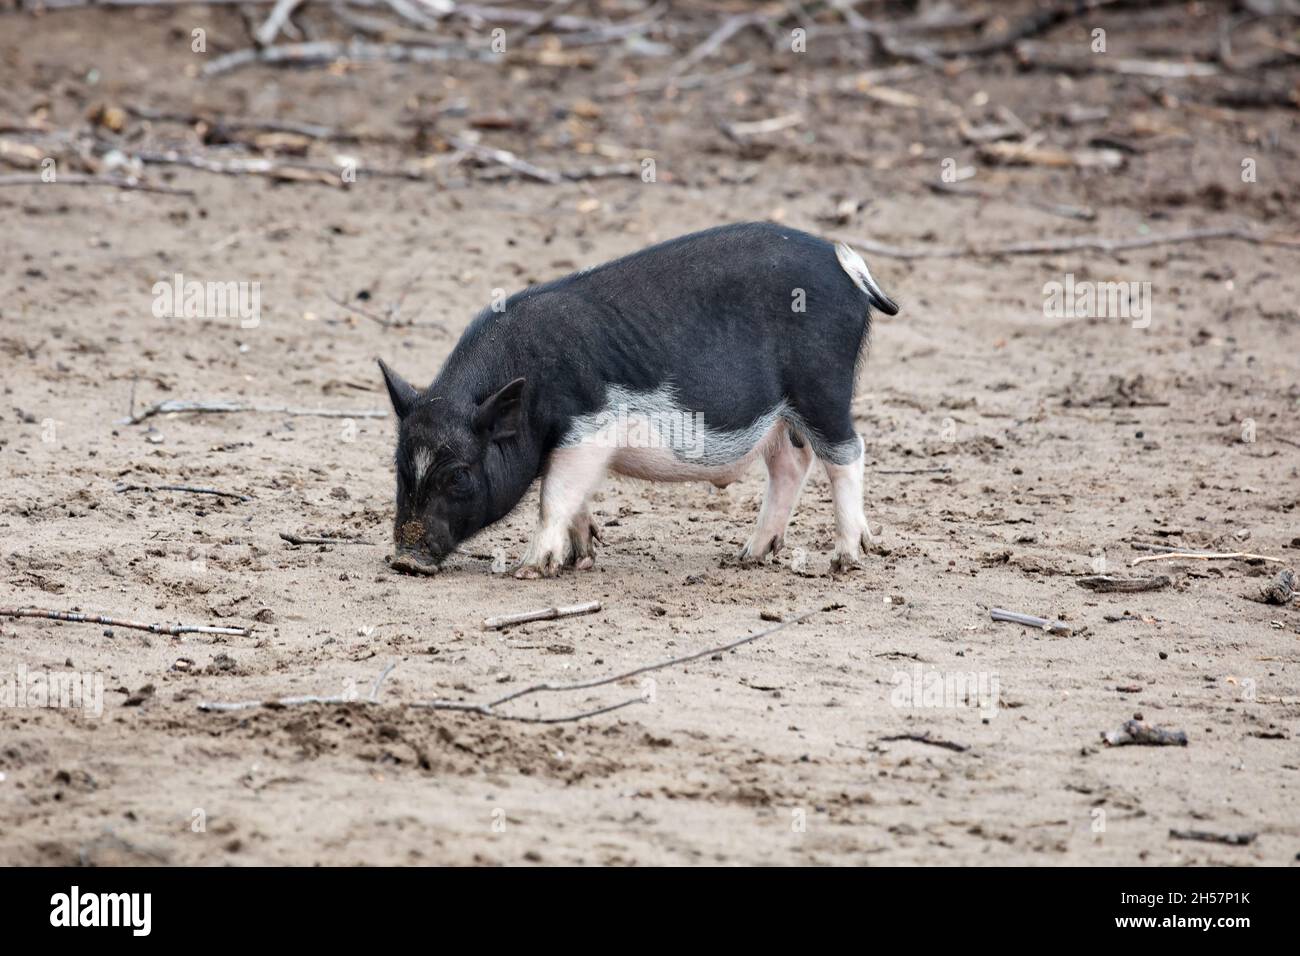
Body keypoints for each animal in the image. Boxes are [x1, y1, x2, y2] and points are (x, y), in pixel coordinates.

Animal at [378, 221, 898, 579]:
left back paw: (845, 560)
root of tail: (846, 263)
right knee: (791, 463)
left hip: (823, 385)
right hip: (782, 413)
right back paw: (746, 557)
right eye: (399, 467)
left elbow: (553, 496)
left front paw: (531, 569)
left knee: (848, 452)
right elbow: (572, 496)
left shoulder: (588, 429)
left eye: (459, 475)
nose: (405, 560)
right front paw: (583, 557)